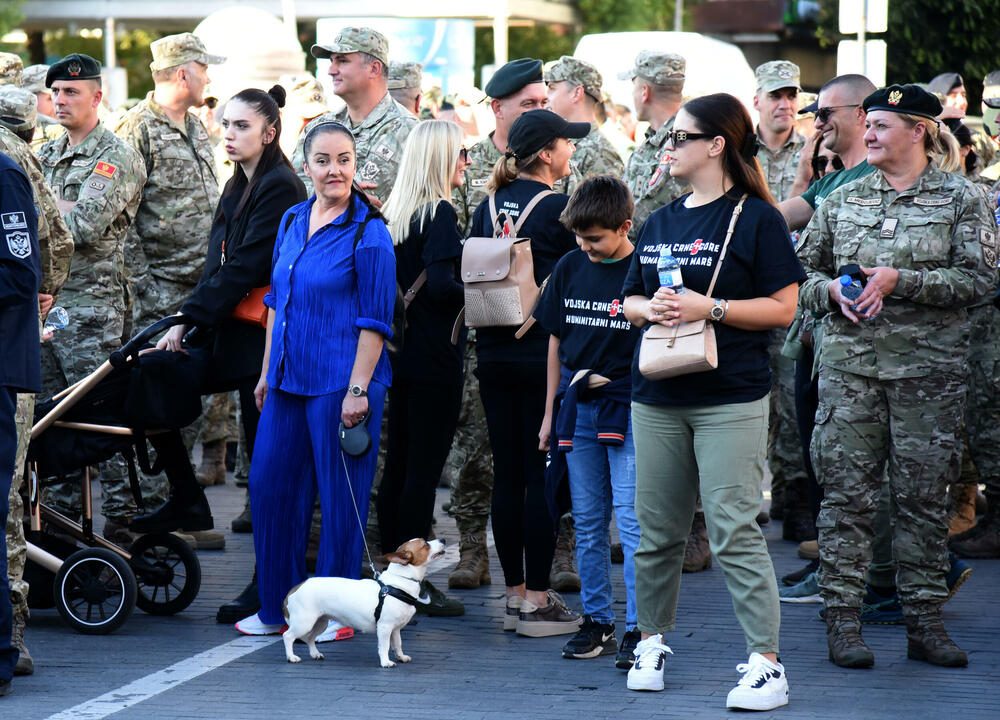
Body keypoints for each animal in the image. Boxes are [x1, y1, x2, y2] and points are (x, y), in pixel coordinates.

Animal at [278, 536, 442, 668]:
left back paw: (315, 654)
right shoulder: (384, 628)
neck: (399, 582)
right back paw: (291, 657)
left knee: (310, 638)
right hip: (304, 623)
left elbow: (397, 644)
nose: (443, 540)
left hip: (321, 622)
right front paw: (385, 662)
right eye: (425, 544)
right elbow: (384, 646)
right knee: (288, 636)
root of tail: (295, 588)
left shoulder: (395, 629)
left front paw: (401, 657)